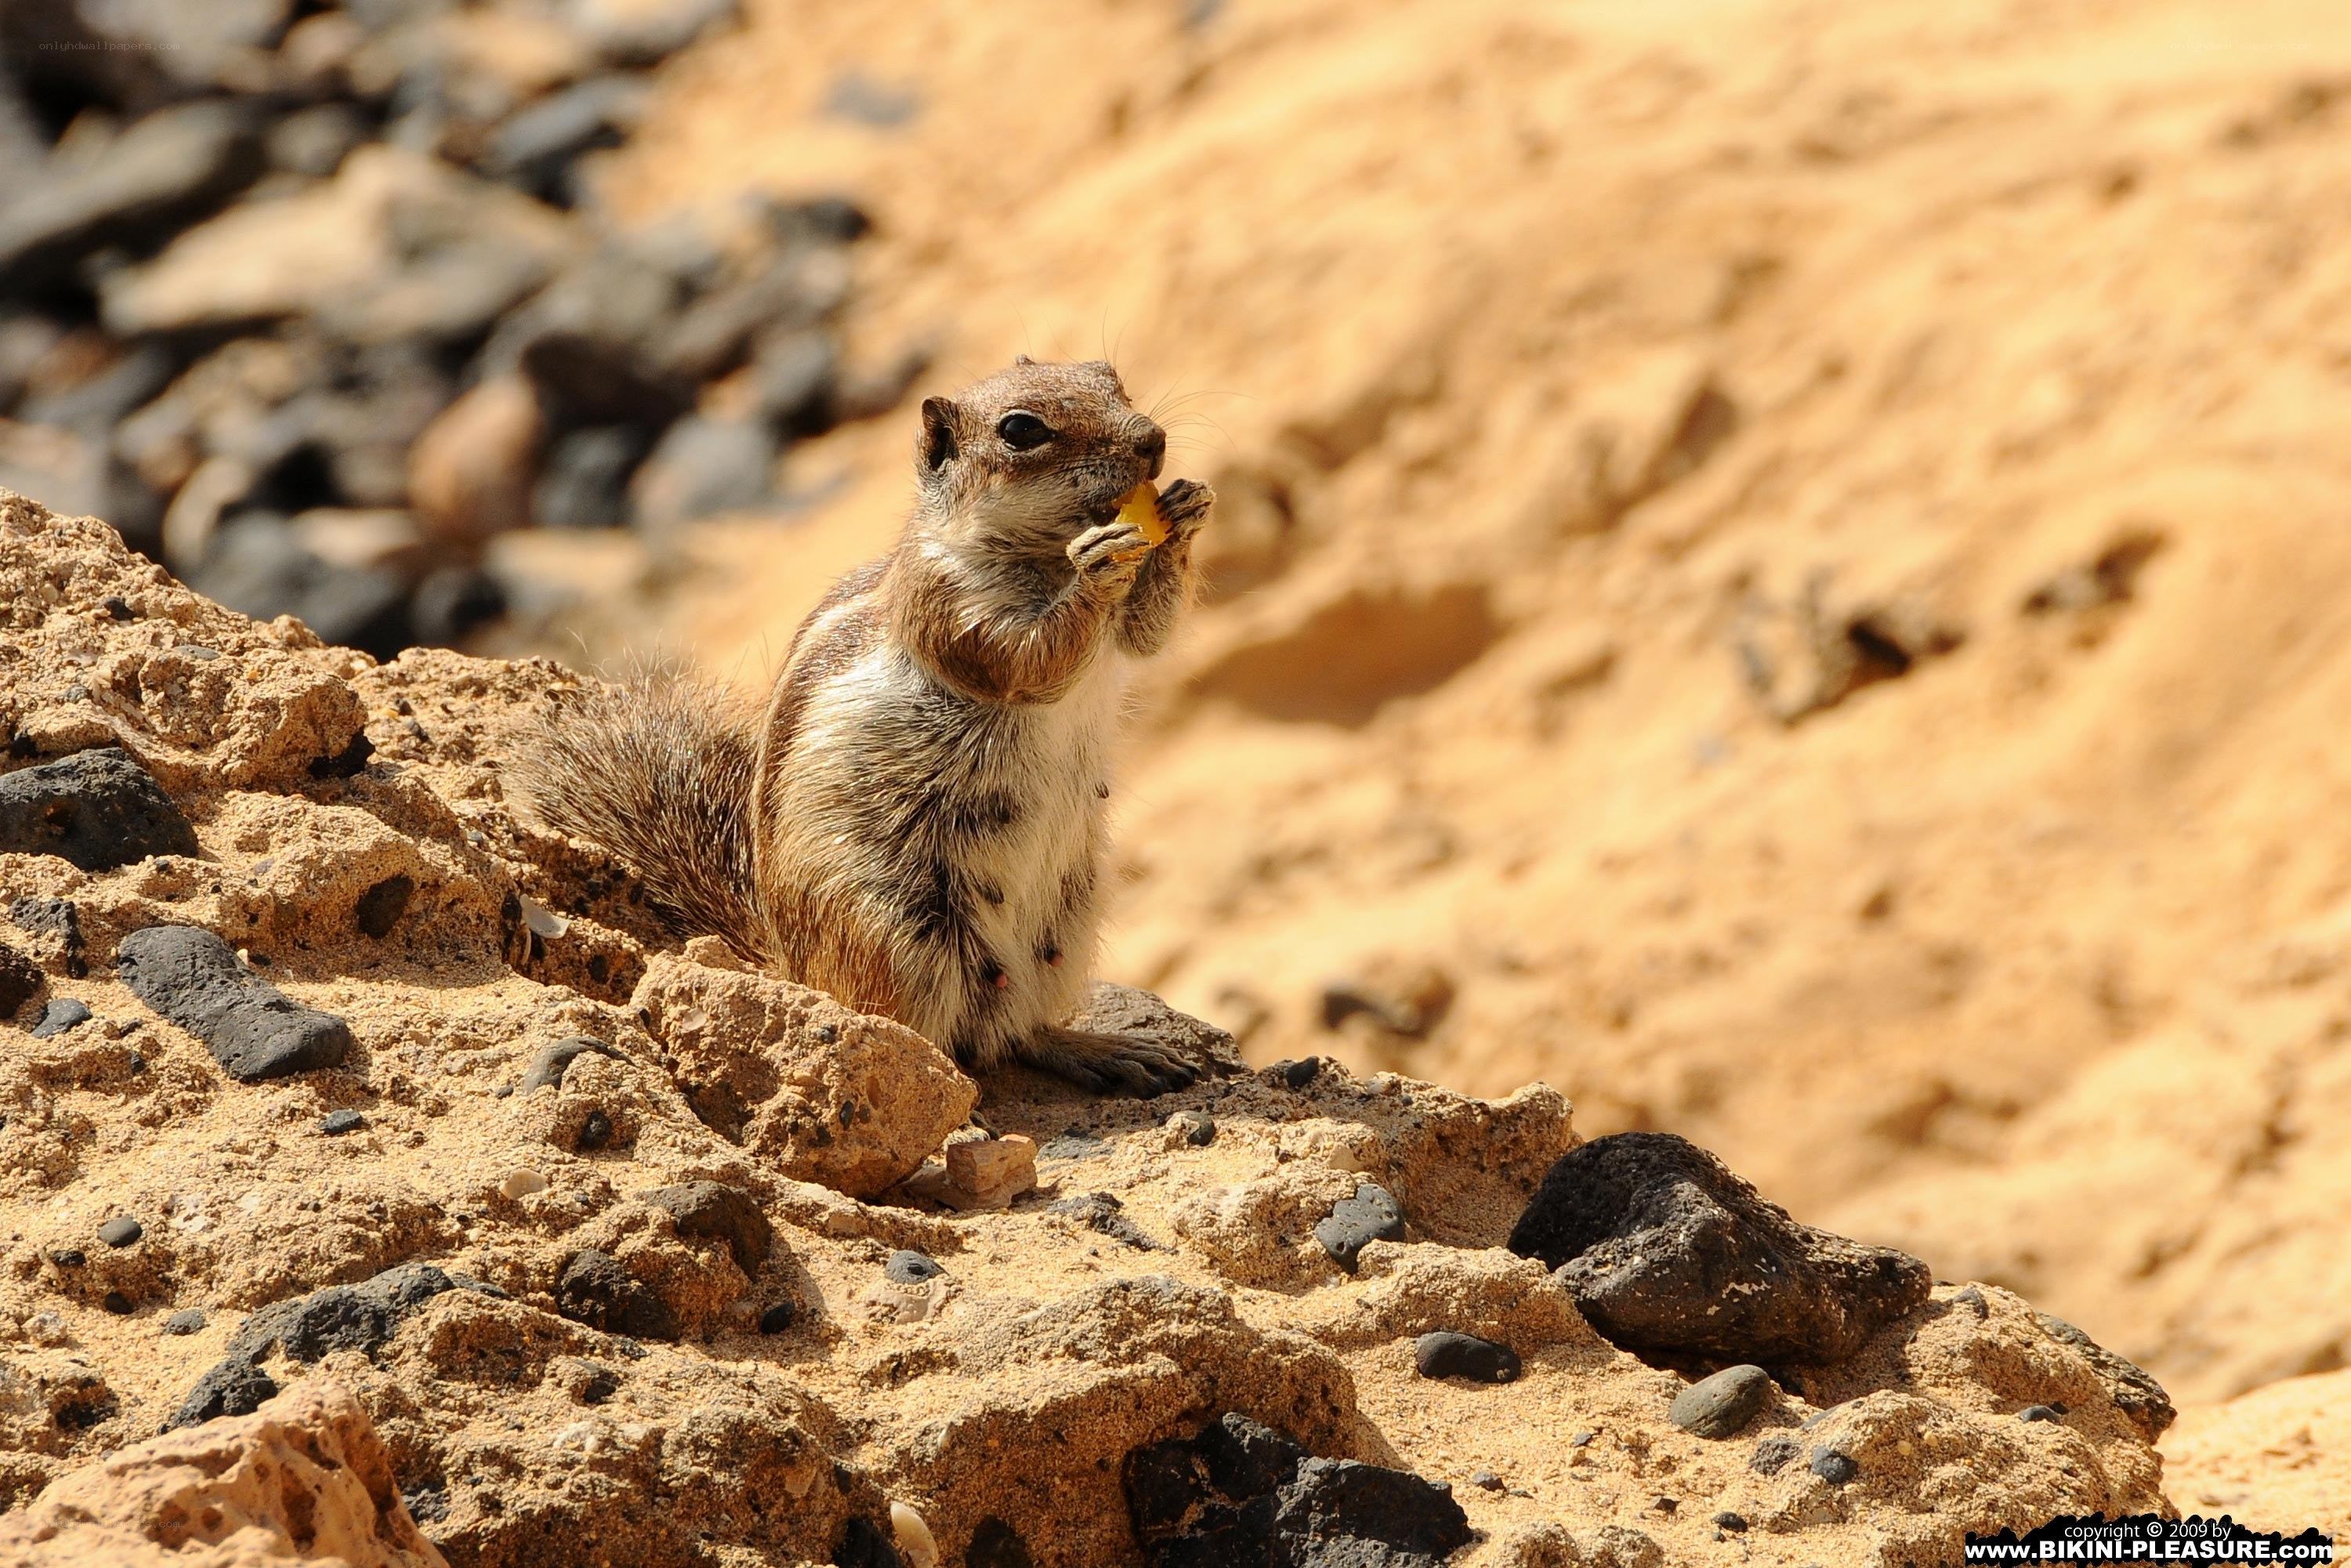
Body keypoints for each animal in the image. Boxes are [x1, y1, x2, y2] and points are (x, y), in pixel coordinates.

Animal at [515, 358, 1214, 1095]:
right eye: (1021, 431)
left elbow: (1147, 634)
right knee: (915, 1038)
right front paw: (1099, 564)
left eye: (1111, 377)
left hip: (1068, 919)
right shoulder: (946, 608)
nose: (1153, 440)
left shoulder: (1115, 631)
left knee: (1019, 1033)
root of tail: (793, 969)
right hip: (895, 933)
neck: (1045, 553)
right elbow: (1032, 659)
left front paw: (1184, 511)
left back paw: (1103, 1050)